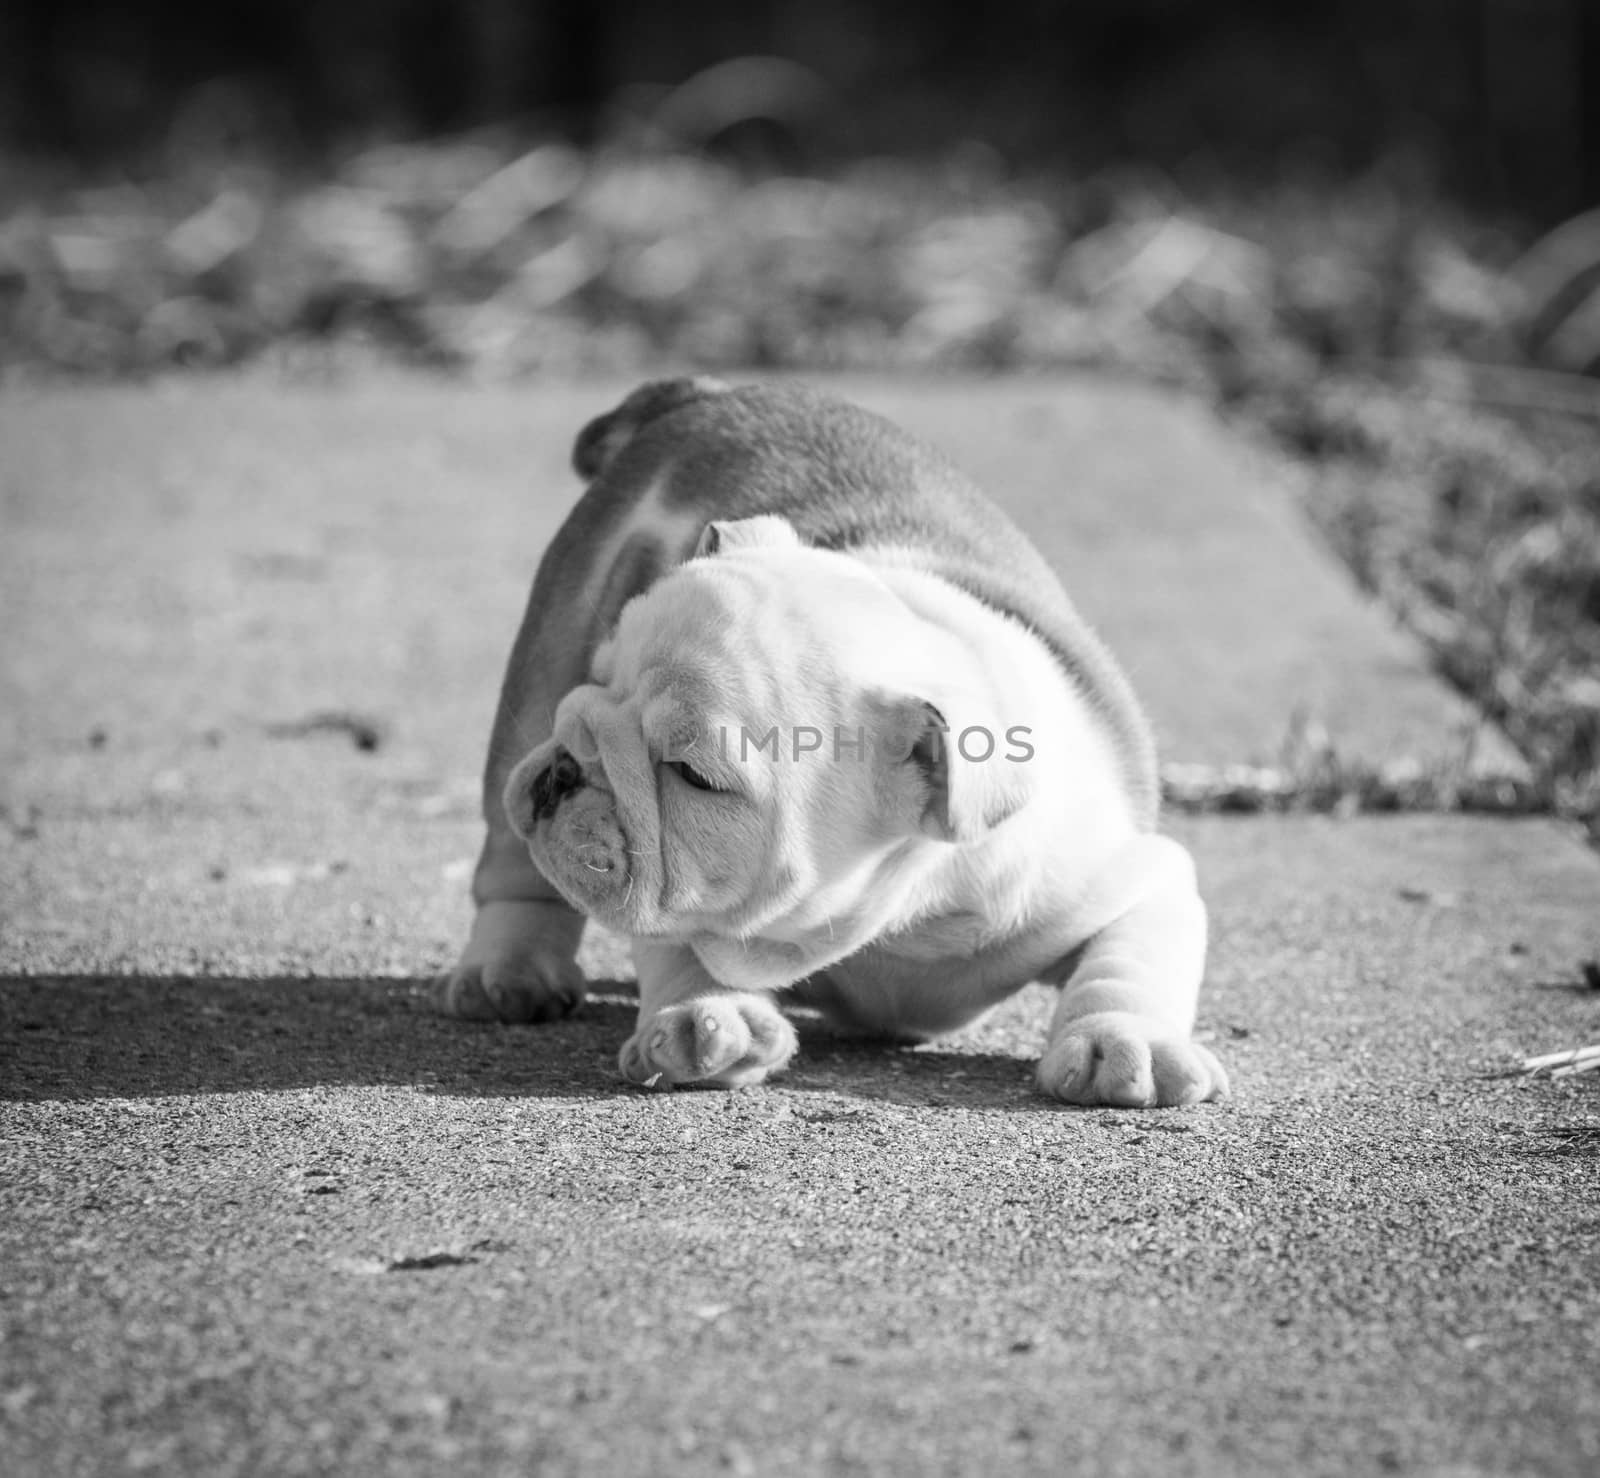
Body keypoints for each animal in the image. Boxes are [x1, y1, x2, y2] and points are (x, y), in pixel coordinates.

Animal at [438, 380, 1222, 1106]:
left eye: (694, 775)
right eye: (597, 681)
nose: (568, 766)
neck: (896, 907)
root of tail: (709, 396)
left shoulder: (1123, 876)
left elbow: (1131, 960)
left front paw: (1124, 1043)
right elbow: (681, 941)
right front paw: (705, 1017)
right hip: (548, 650)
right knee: (513, 866)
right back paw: (509, 971)